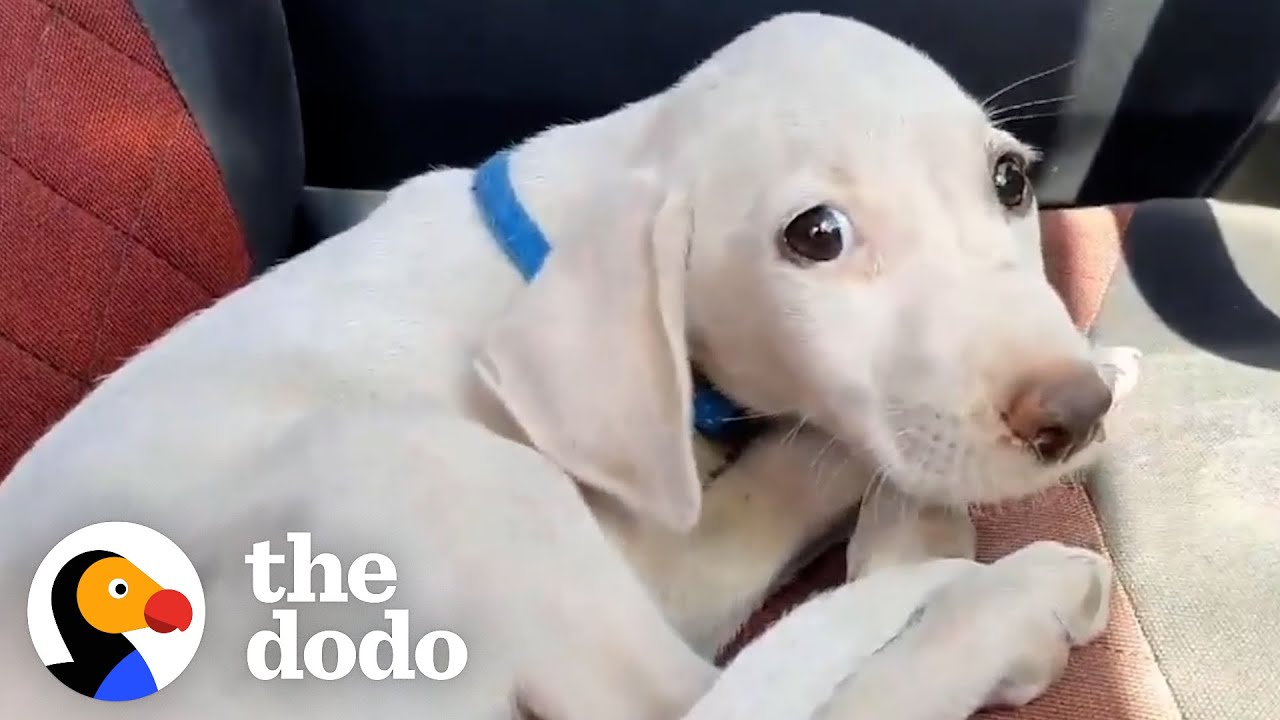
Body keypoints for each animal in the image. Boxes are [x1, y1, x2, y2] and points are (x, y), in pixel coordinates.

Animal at [5, 11, 1136, 717]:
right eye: (815, 235)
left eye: (1008, 182)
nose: (1075, 412)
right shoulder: (656, 557)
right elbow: (800, 467)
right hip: (435, 469)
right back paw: (1003, 605)